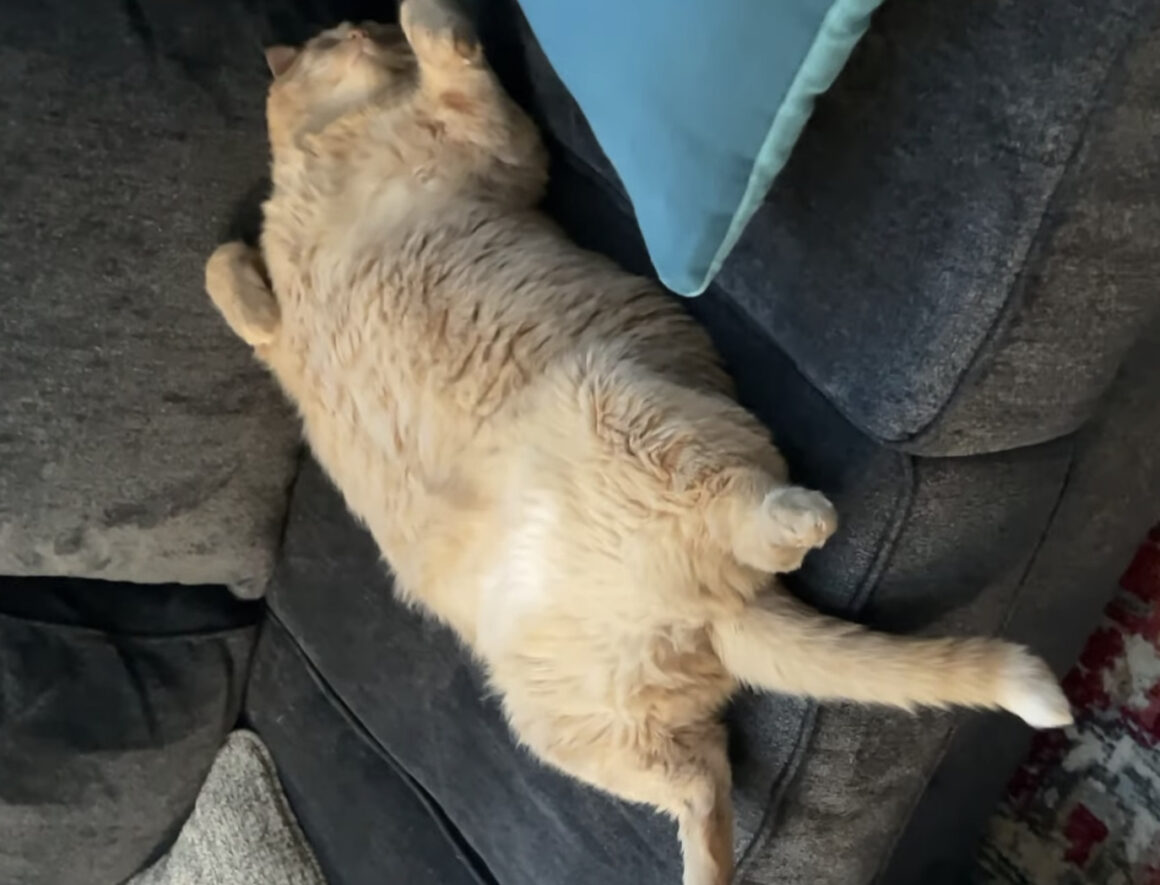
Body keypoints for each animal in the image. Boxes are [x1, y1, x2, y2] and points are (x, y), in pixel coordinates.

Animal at [204, 5, 1071, 884]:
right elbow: (230, 271)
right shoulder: (308, 316)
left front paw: (420, 20)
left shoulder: (494, 150)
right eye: (331, 37)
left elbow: (238, 258)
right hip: (581, 682)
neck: (339, 139)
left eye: (352, 30)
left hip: (613, 447)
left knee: (737, 622)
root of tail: (708, 607)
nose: (361, 27)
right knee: (705, 755)